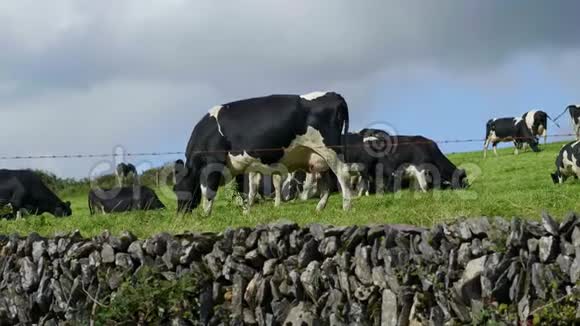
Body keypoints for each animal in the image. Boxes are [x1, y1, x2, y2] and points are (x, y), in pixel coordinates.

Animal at [172, 90, 352, 215]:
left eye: (176, 188)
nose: (180, 215)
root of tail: (334, 95)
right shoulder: (250, 164)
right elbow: (250, 189)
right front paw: (246, 212)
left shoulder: (213, 162)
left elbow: (208, 191)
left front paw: (205, 214)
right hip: (319, 158)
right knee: (327, 182)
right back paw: (320, 207)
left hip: (330, 150)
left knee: (342, 174)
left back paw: (346, 206)